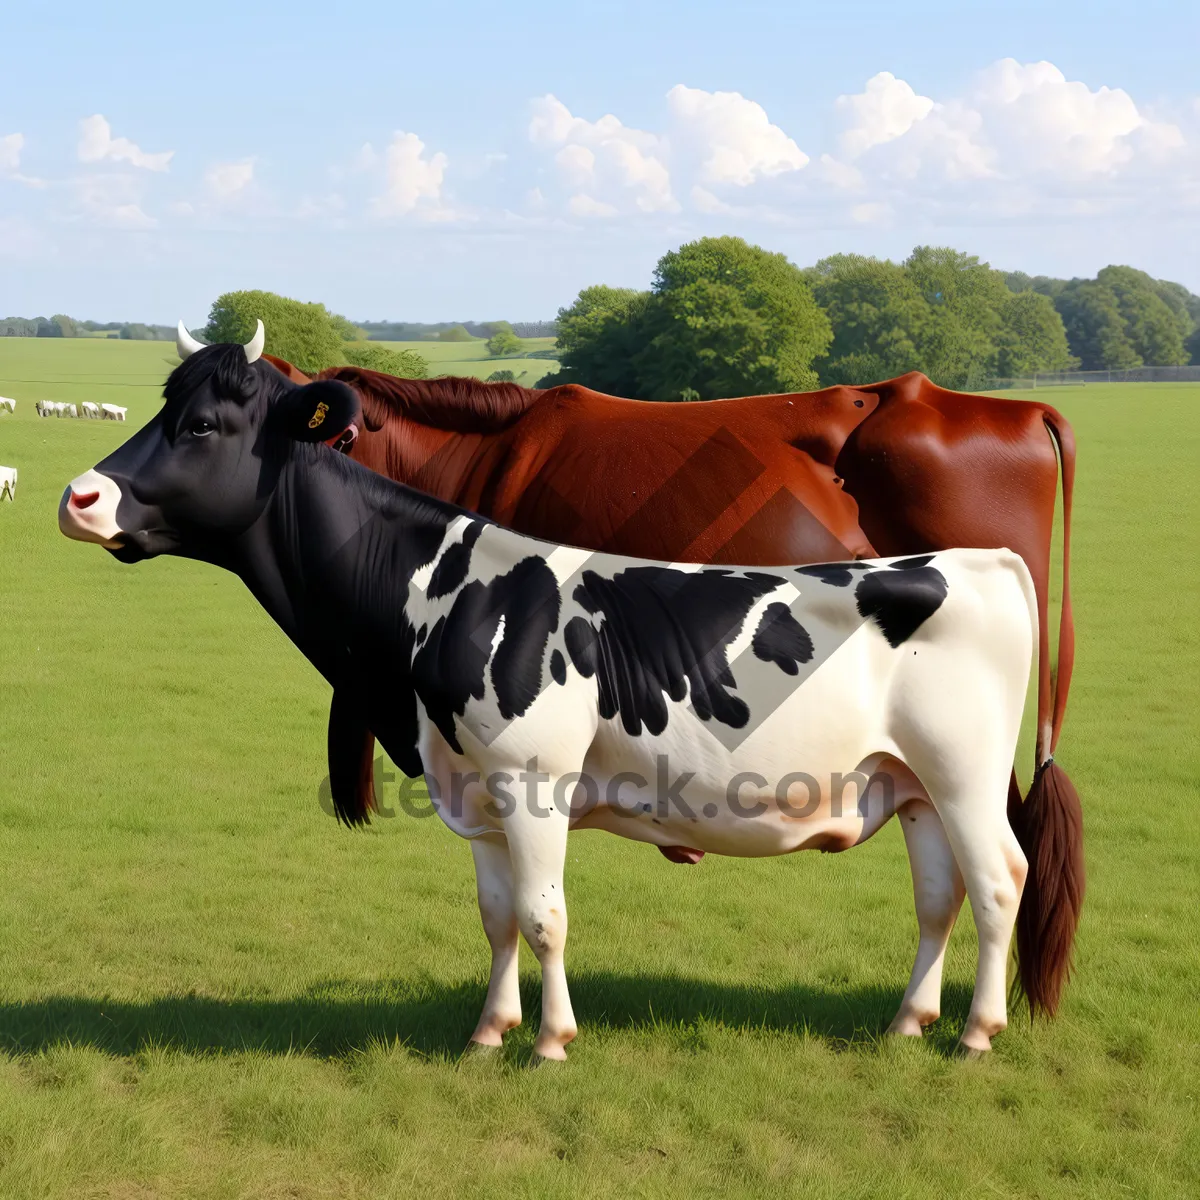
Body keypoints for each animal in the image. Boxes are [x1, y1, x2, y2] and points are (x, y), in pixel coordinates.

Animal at [60, 326, 1084, 1060]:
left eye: (202, 425)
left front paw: (551, 1040)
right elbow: (497, 913)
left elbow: (546, 914)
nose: (78, 497)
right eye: (165, 406)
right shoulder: (470, 790)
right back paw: (909, 1019)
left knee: (1002, 877)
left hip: (965, 775)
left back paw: (978, 1033)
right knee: (939, 893)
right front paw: (488, 1031)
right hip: (909, 784)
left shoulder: (533, 779)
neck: (438, 592)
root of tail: (974, 562)